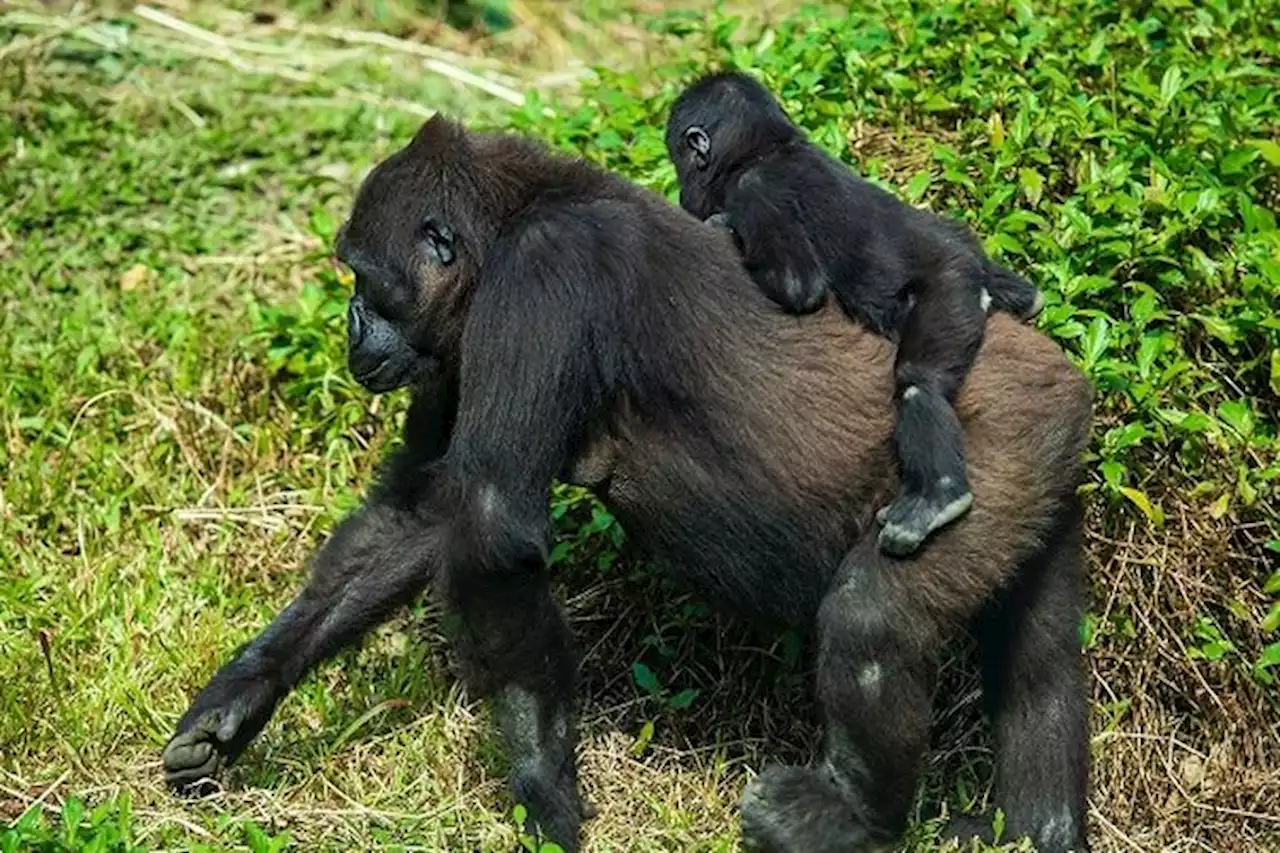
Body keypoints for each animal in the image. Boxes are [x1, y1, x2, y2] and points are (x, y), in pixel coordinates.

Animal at [665, 69, 1044, 555]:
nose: (679, 190)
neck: (764, 150)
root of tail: (974, 273)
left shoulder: (755, 193)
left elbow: (797, 284)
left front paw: (721, 226)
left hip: (951, 293)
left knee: (918, 383)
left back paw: (936, 498)